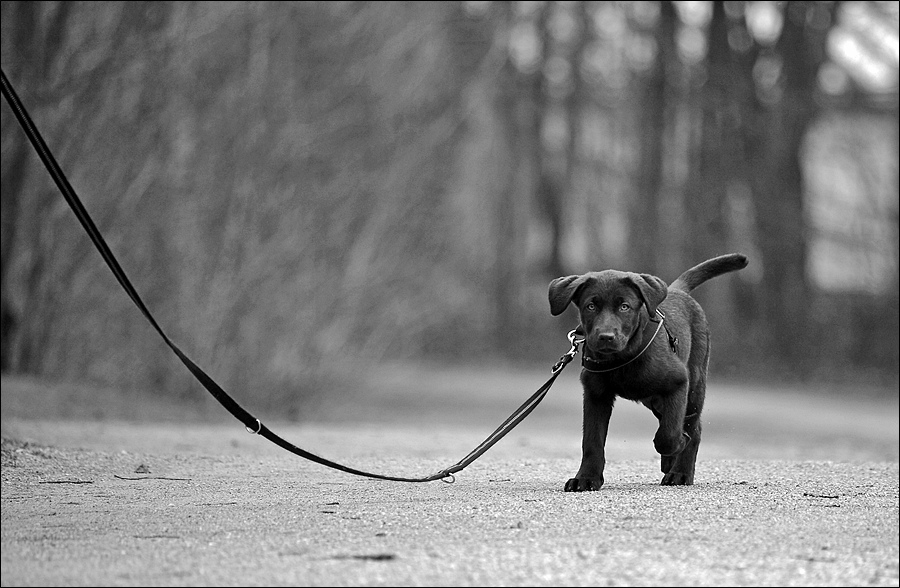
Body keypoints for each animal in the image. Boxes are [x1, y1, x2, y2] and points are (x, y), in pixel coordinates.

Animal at [548, 255, 752, 490]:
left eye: (624, 307)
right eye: (590, 306)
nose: (606, 337)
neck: (622, 358)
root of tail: (677, 290)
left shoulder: (679, 382)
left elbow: (668, 435)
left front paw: (679, 443)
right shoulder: (595, 395)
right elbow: (591, 441)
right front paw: (586, 478)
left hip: (694, 385)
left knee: (693, 427)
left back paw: (680, 473)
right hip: (655, 400)